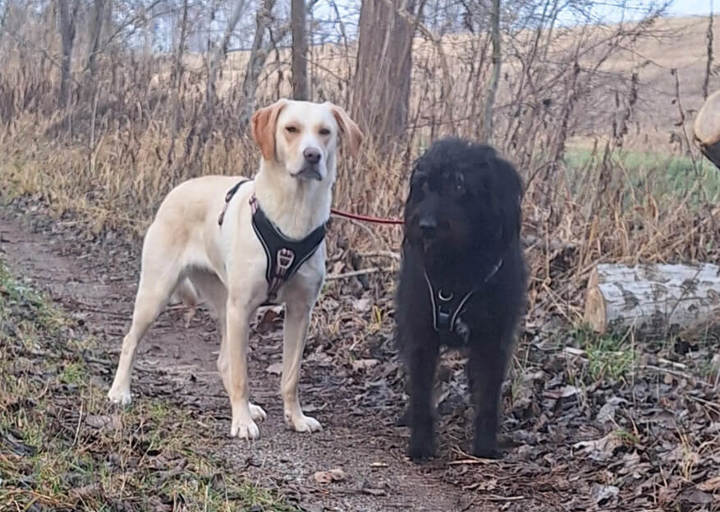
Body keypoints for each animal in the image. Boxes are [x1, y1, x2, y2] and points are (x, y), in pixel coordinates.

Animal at [107, 99, 363, 440]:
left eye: (325, 132)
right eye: (291, 129)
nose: (313, 155)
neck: (294, 212)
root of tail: (177, 190)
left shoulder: (299, 311)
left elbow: (291, 375)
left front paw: (295, 418)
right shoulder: (242, 307)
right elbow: (243, 374)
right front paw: (241, 422)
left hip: (224, 304)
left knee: (224, 361)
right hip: (159, 293)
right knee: (130, 340)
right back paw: (120, 391)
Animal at [396, 137, 526, 461]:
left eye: (459, 185)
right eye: (424, 184)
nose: (425, 226)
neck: (457, 266)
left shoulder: (492, 341)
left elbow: (488, 396)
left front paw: (486, 446)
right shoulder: (421, 336)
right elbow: (420, 392)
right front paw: (421, 445)